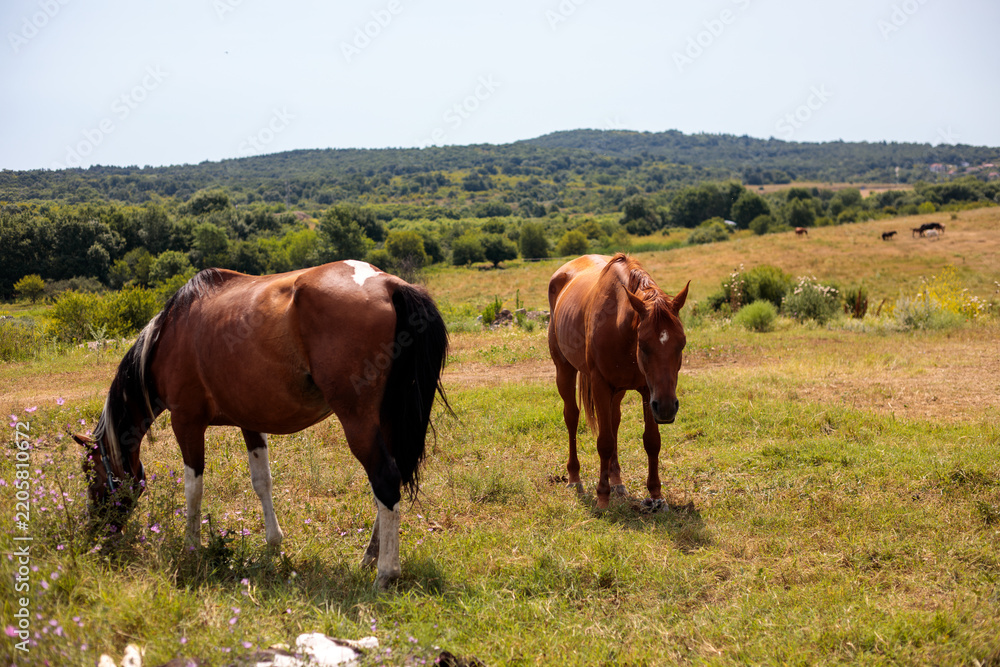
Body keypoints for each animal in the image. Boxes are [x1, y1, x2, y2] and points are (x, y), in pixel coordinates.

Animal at [73, 261, 449, 588]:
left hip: (358, 422)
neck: (168, 335)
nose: (96, 536)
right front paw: (274, 544)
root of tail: (387, 283)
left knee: (384, 480)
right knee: (388, 482)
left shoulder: (186, 423)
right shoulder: (249, 422)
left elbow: (193, 487)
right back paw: (370, 557)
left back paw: (385, 573)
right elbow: (262, 482)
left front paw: (191, 547)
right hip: (383, 420)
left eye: (91, 475)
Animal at [547, 254, 689, 509]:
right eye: (643, 344)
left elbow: (651, 441)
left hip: (619, 392)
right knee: (572, 417)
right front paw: (602, 497)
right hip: (564, 370)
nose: (666, 408)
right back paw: (574, 478)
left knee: (613, 422)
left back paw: (617, 481)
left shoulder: (648, 392)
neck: (618, 324)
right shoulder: (601, 385)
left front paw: (656, 495)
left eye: (681, 344)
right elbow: (604, 441)